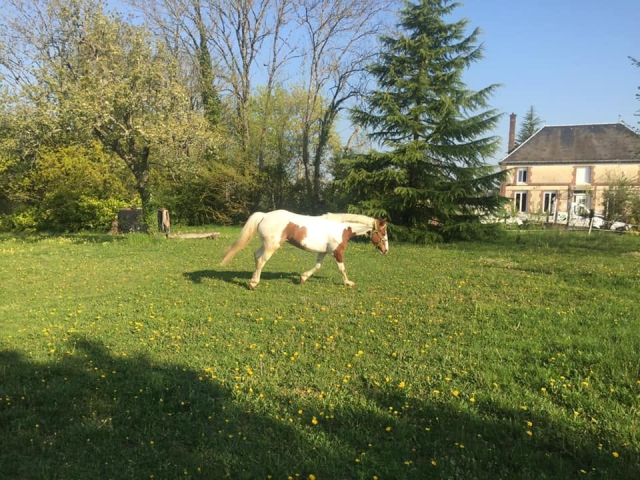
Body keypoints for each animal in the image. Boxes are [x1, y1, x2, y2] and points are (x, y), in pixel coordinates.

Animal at [220, 209, 388, 289]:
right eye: (383, 232)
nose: (386, 251)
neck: (342, 228)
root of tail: (265, 215)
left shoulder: (323, 252)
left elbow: (317, 266)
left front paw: (303, 278)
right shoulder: (337, 252)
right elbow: (342, 269)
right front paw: (349, 283)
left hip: (266, 244)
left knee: (256, 256)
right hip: (271, 246)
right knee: (261, 260)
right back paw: (253, 284)